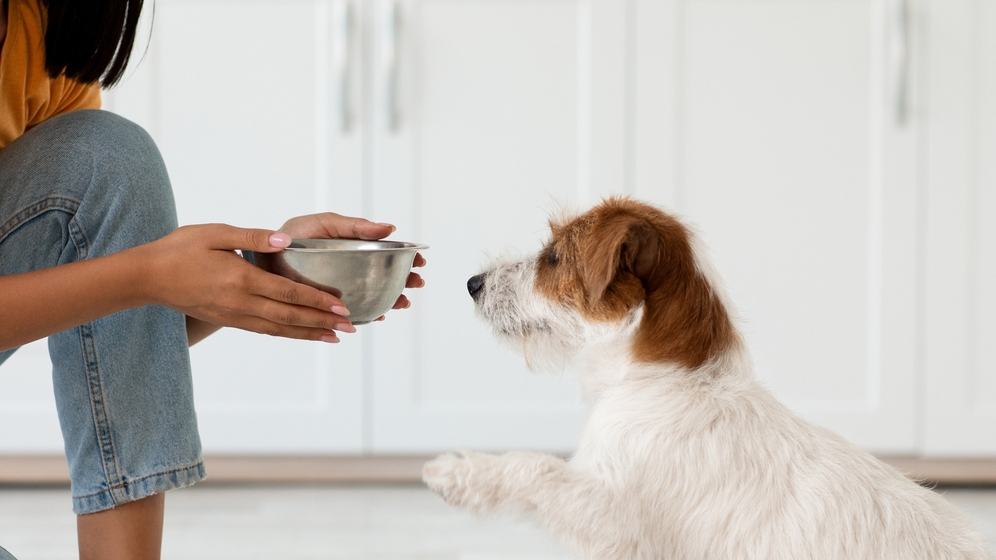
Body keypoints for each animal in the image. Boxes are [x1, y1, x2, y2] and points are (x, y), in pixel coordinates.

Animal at [422, 198, 996, 560]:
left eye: (554, 257)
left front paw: (458, 472)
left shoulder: (612, 516)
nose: (472, 283)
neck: (665, 379)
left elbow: (535, 467)